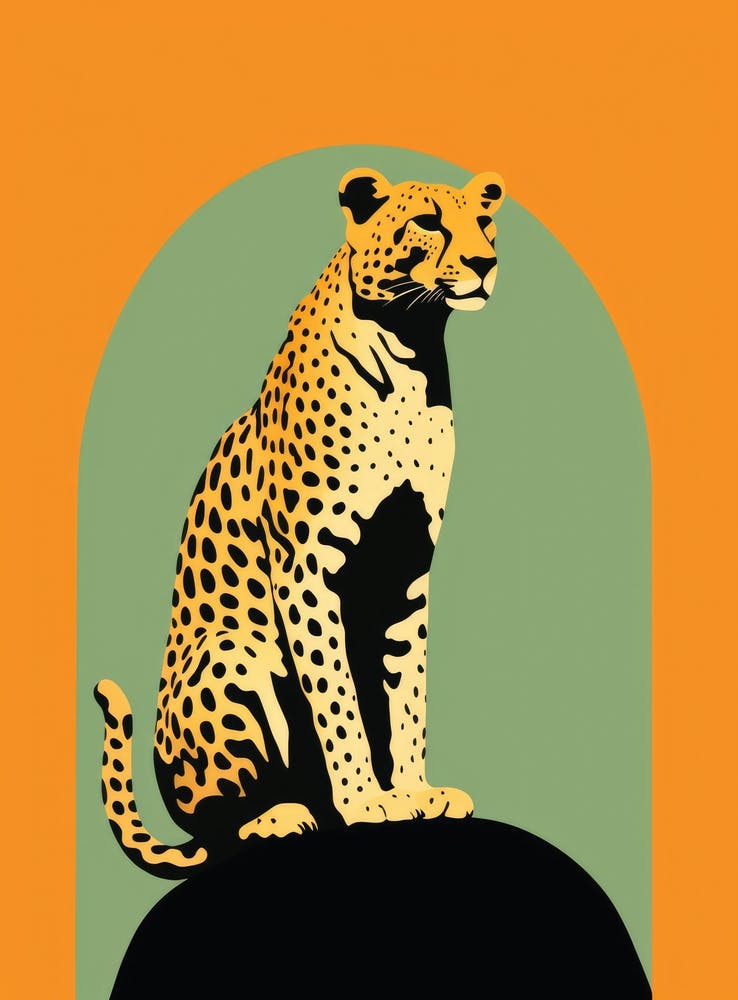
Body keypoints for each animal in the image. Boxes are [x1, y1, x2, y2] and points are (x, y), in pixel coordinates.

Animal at [94, 166, 506, 877]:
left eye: (484, 223)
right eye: (427, 222)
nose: (484, 263)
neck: (413, 351)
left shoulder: (407, 570)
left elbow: (407, 692)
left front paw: (414, 792)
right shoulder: (308, 566)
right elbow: (337, 699)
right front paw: (365, 801)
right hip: (232, 653)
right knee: (218, 827)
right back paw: (281, 814)